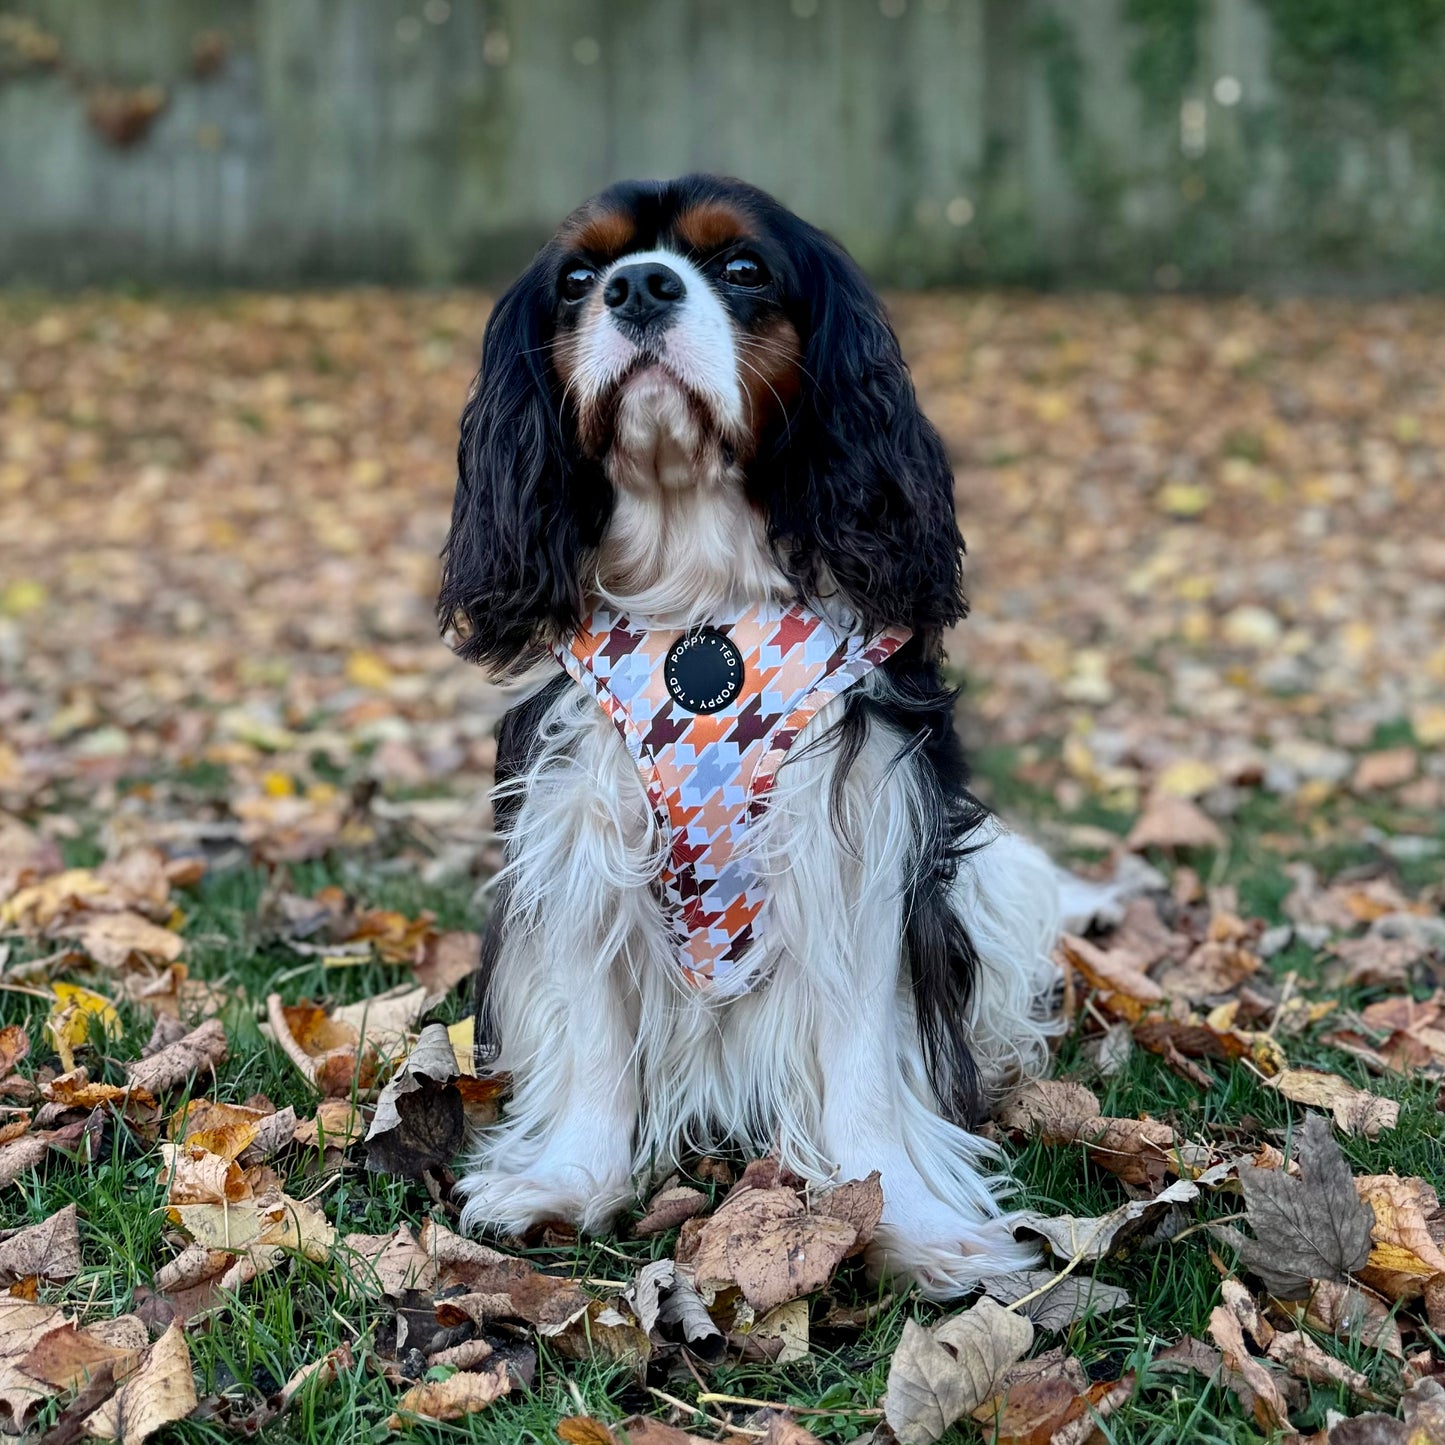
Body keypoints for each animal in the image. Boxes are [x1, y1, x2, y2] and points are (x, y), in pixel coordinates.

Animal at [439, 174, 1063, 1294]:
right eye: (578, 279)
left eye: (740, 267)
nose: (638, 287)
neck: (699, 589)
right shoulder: (584, 827)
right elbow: (594, 1041)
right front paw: (568, 1179)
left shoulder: (854, 848)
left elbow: (865, 1065)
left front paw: (912, 1221)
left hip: (1000, 874)